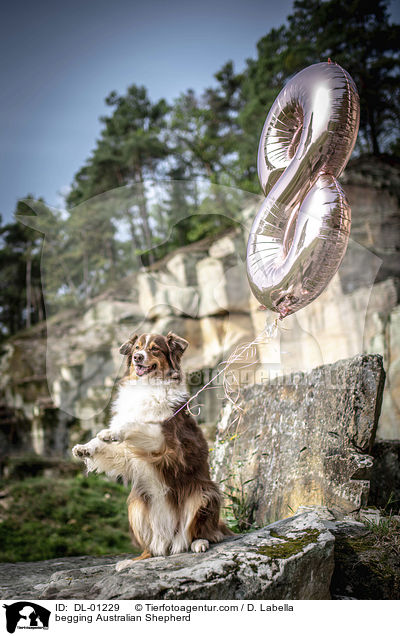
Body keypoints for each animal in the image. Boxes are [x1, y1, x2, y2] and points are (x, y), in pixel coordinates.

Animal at [72, 332, 231, 572]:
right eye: (137, 348)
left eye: (155, 349)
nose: (137, 357)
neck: (146, 386)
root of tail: (172, 540)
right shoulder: (129, 455)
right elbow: (107, 445)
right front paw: (85, 448)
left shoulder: (166, 442)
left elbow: (135, 424)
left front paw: (111, 431)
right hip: (136, 507)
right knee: (152, 549)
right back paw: (134, 560)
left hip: (203, 494)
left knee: (206, 533)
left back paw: (199, 542)